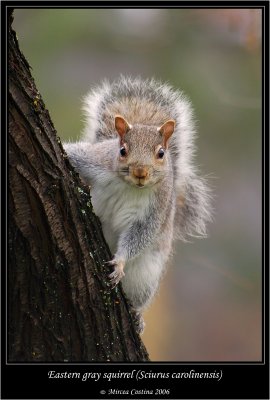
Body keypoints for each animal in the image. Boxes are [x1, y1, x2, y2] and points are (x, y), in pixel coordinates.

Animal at [64, 76, 212, 332]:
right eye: (122, 150)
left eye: (161, 153)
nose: (140, 172)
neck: (130, 186)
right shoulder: (95, 160)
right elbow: (72, 153)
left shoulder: (156, 209)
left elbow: (141, 233)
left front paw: (120, 262)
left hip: (146, 279)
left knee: (138, 297)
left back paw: (137, 315)